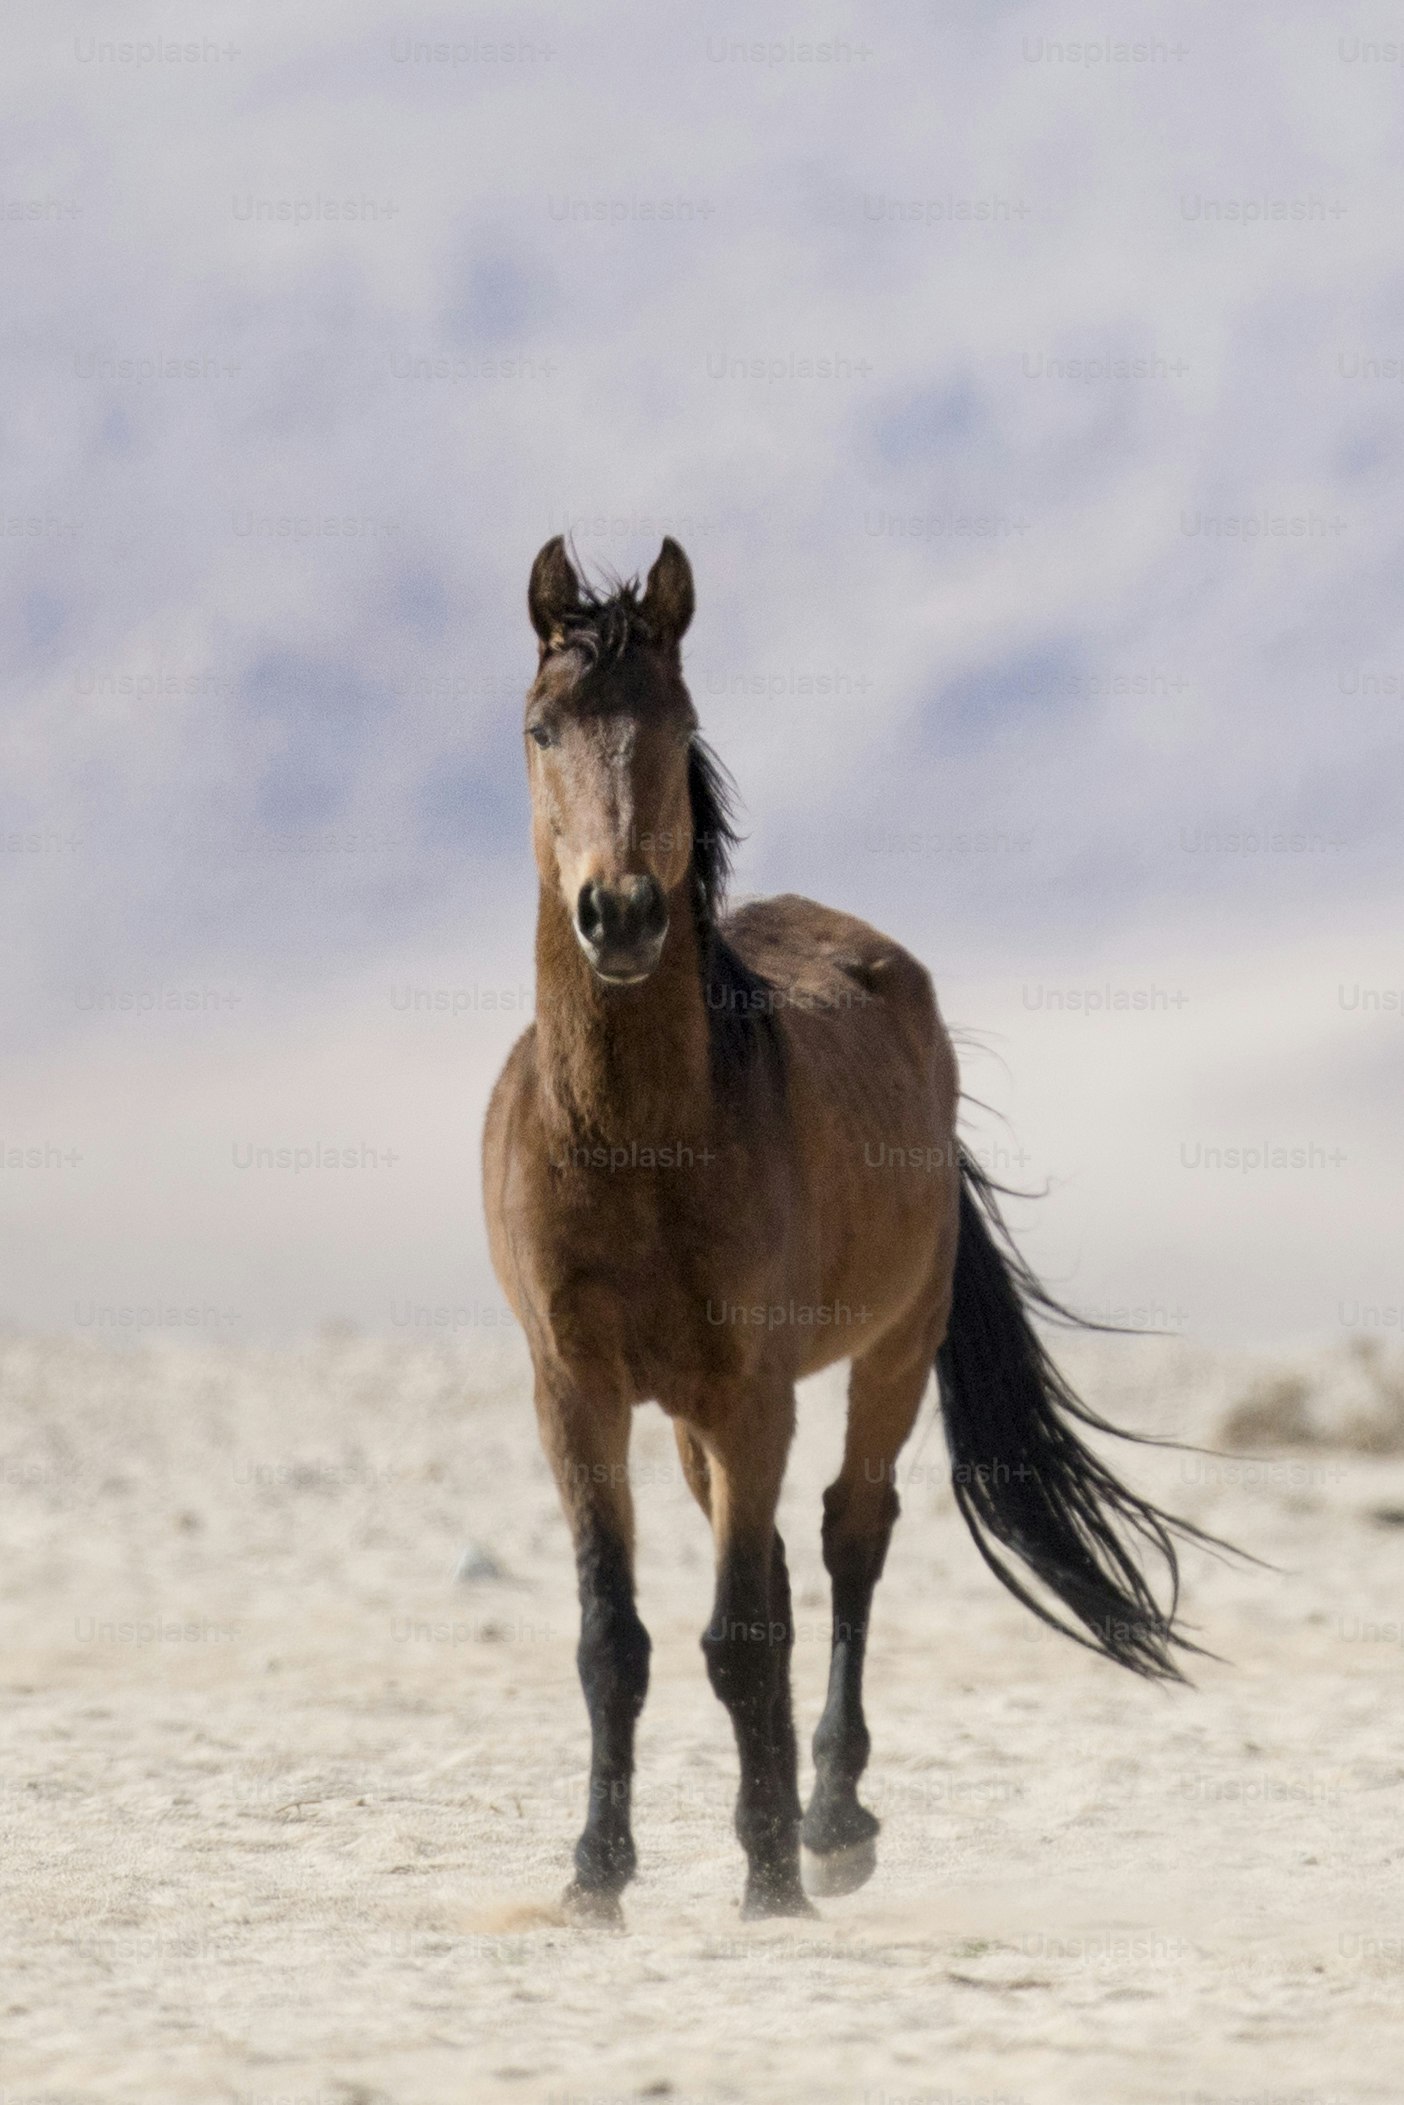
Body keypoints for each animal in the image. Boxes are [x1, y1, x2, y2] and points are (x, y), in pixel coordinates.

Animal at [483, 535, 1219, 1924]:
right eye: (542, 728)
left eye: (678, 724)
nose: (622, 913)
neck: (635, 1138)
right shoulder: (576, 1392)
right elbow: (616, 1641)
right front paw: (597, 1876)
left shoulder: (751, 1387)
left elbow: (740, 1633)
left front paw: (773, 1875)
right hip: (699, 1419)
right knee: (773, 1559)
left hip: (886, 1353)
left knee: (845, 1537)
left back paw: (826, 1820)